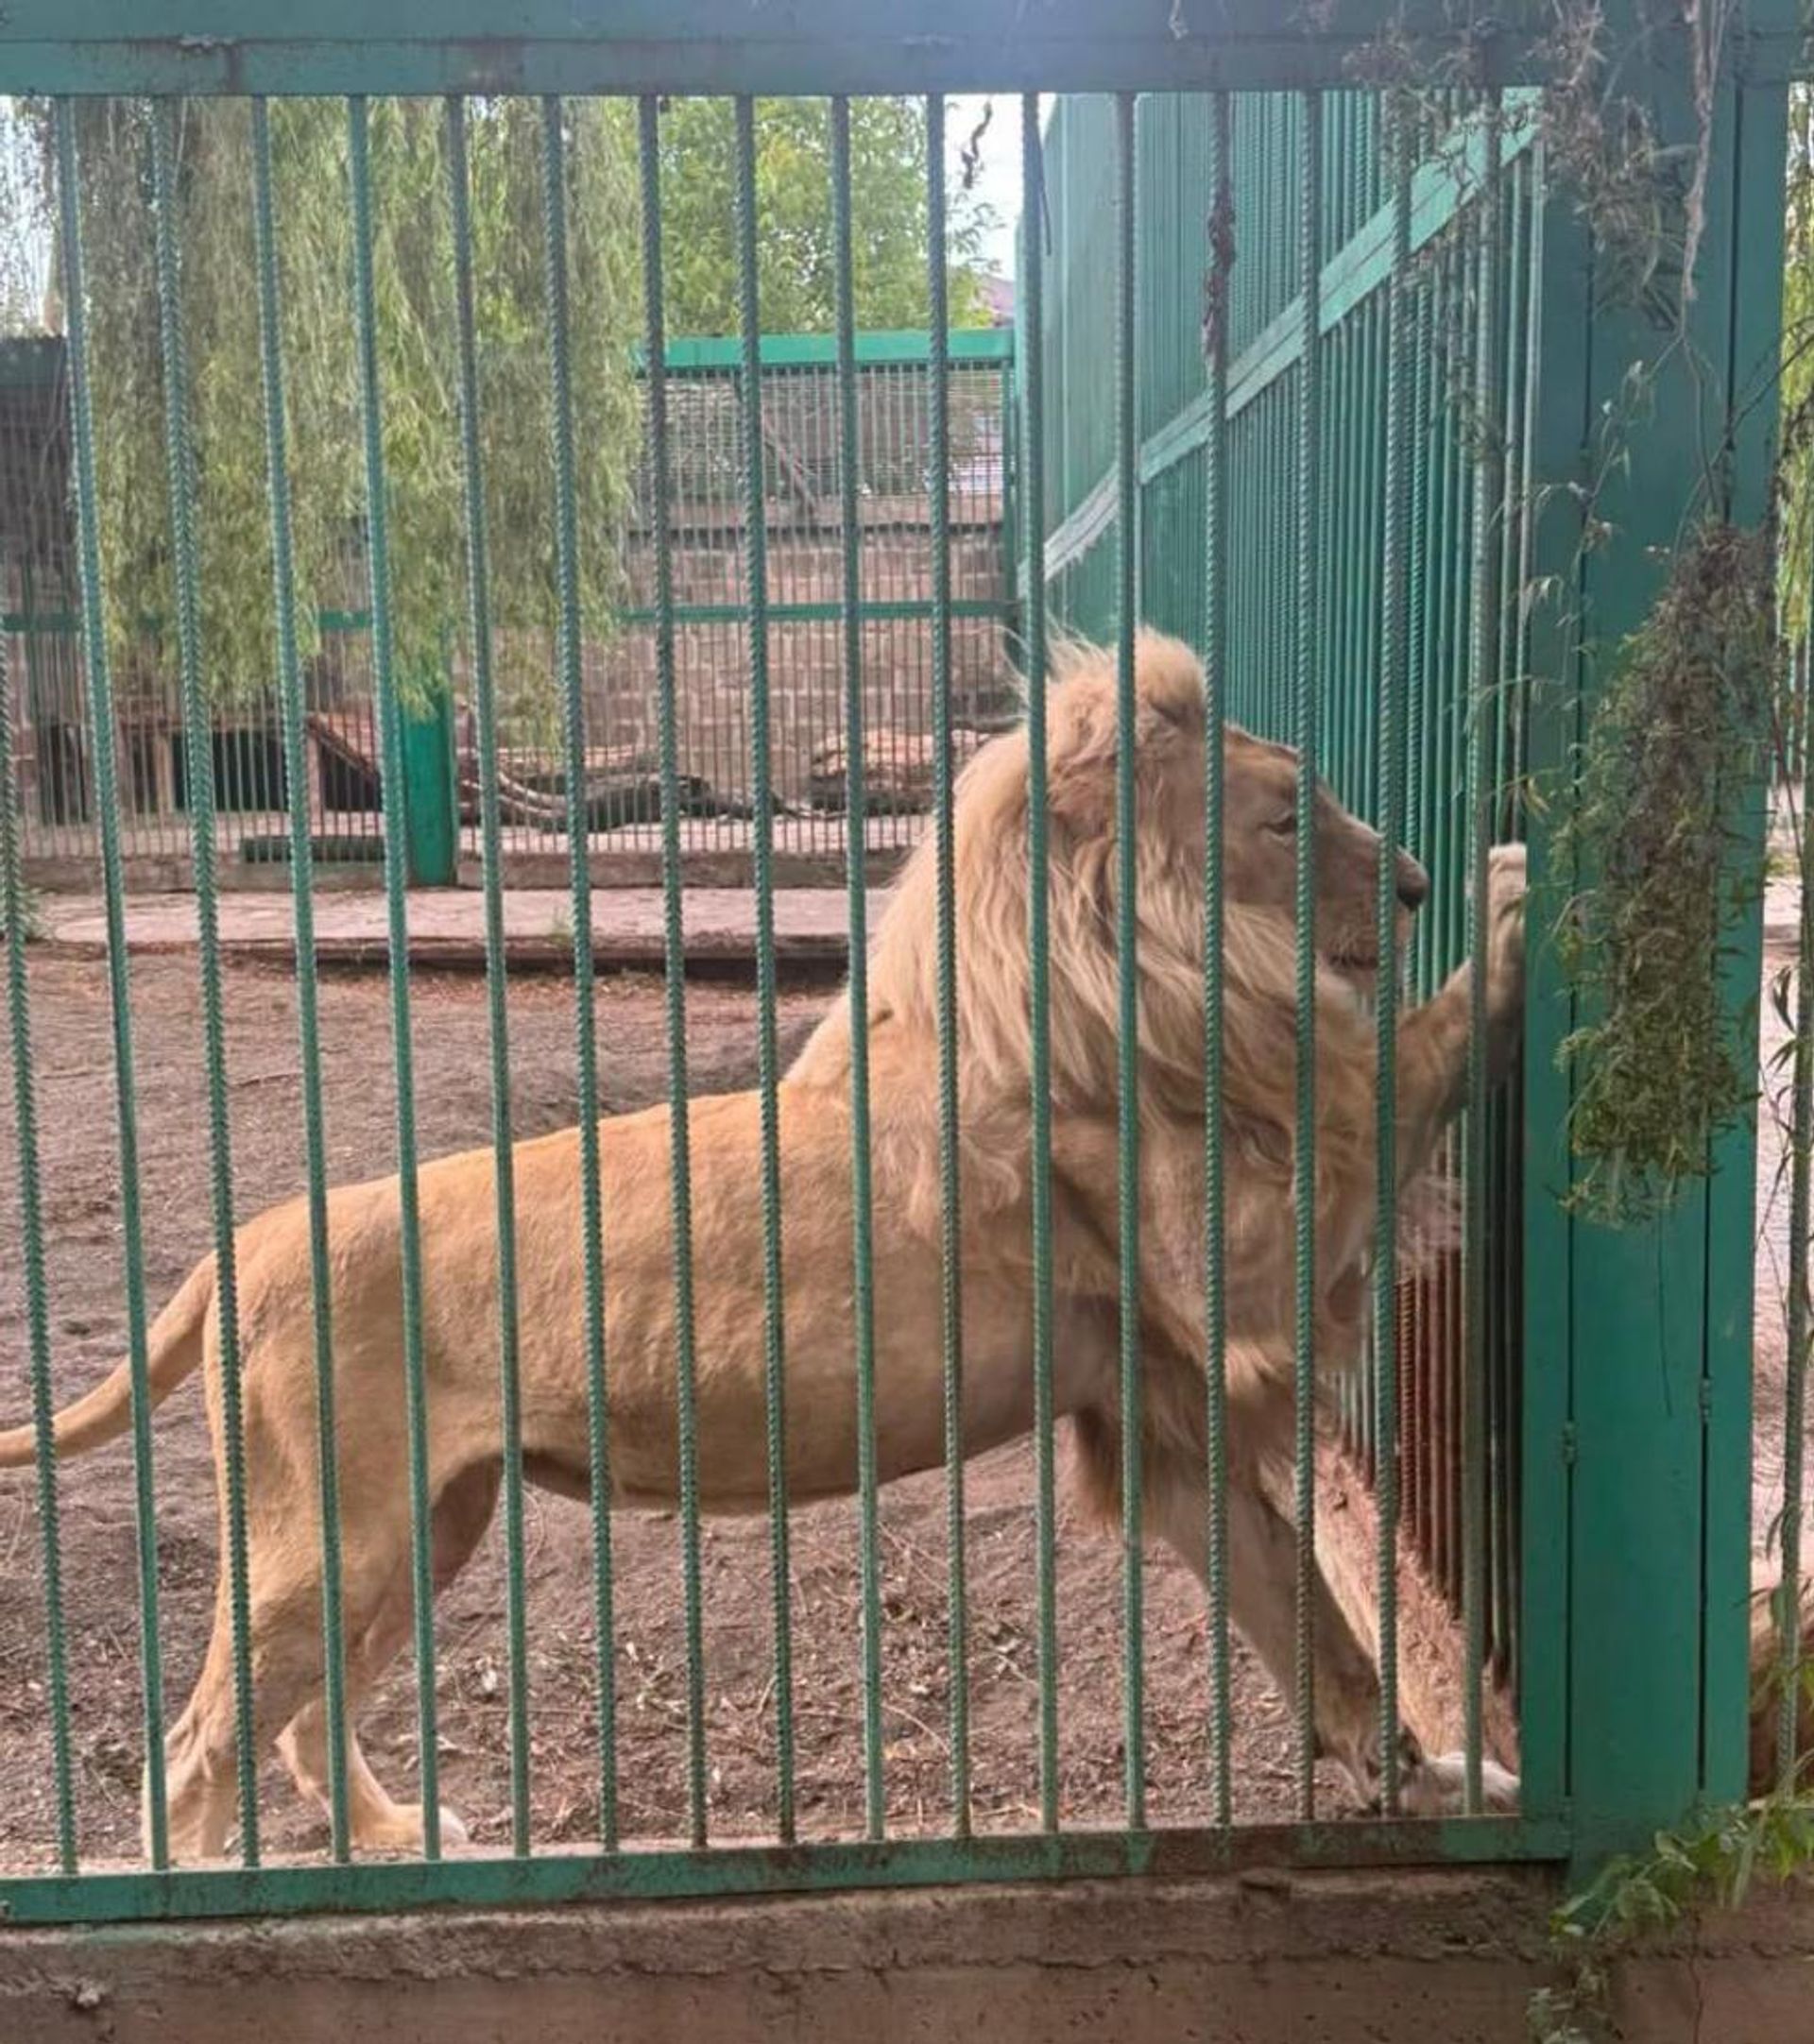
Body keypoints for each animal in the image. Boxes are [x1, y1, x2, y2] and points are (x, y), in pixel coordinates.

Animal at [0, 628, 1527, 1861]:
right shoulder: (1236, 1262)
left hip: (429, 1522)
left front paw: (1432, 1774)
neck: (1115, 975)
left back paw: (399, 1841)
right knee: (197, 1752)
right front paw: (1512, 915)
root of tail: (233, 1246)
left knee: (301, 1721)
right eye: (1283, 818)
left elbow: (1314, 1627)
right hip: (329, 1534)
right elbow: (1389, 1076)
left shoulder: (1164, 1406)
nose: (1411, 881)